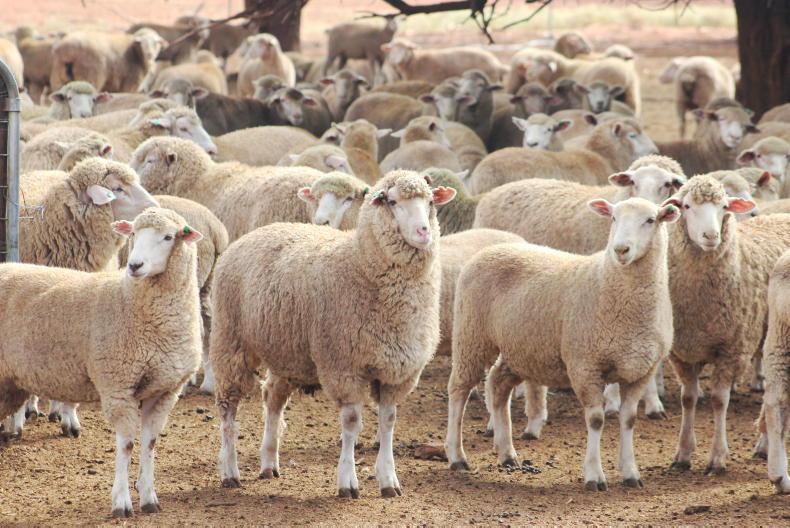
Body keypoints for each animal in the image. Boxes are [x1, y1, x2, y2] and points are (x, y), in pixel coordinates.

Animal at [0, 207, 202, 516]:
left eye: (169, 237)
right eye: (133, 233)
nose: (134, 265)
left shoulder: (164, 390)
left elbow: (150, 443)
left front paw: (149, 497)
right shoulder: (117, 385)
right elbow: (127, 445)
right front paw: (121, 502)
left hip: (10, 383)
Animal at [210, 170, 455, 496]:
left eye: (430, 201)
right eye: (391, 202)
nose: (423, 232)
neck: (361, 263)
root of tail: (256, 233)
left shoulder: (397, 371)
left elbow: (388, 421)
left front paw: (388, 479)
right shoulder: (344, 366)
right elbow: (351, 423)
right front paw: (347, 481)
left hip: (285, 351)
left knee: (272, 397)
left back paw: (269, 462)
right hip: (231, 340)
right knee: (228, 409)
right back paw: (229, 471)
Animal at [446, 197, 679, 490]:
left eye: (650, 220)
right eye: (613, 218)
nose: (621, 249)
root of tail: (490, 249)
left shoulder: (640, 371)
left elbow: (628, 420)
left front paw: (630, 473)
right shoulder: (585, 365)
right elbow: (596, 420)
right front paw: (594, 475)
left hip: (519, 349)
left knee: (498, 384)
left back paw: (507, 454)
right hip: (471, 336)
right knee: (459, 390)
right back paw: (456, 456)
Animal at [663, 175, 790, 475]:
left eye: (723, 207)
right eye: (686, 206)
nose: (711, 236)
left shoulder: (732, 348)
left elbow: (720, 400)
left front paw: (717, 458)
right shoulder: (682, 352)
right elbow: (688, 398)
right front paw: (683, 454)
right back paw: (764, 446)